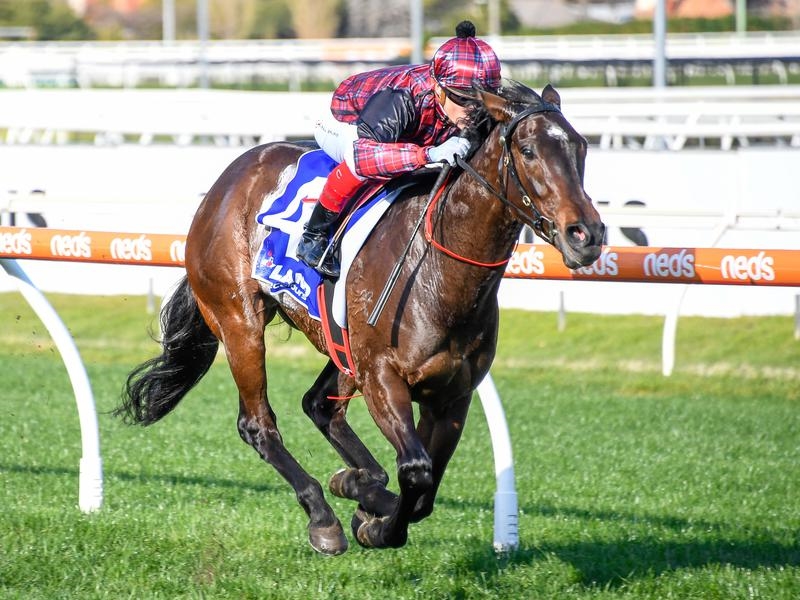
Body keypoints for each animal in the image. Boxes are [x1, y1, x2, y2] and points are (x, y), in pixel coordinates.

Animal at [117, 81, 605, 555]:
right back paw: (324, 517)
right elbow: (416, 470)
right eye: (528, 150)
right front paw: (375, 522)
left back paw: (359, 485)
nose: (587, 234)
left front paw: (367, 502)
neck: (438, 272)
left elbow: (424, 489)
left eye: (581, 147)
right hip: (240, 322)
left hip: (340, 345)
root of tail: (229, 177)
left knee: (319, 405)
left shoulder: (452, 396)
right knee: (258, 424)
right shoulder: (383, 378)